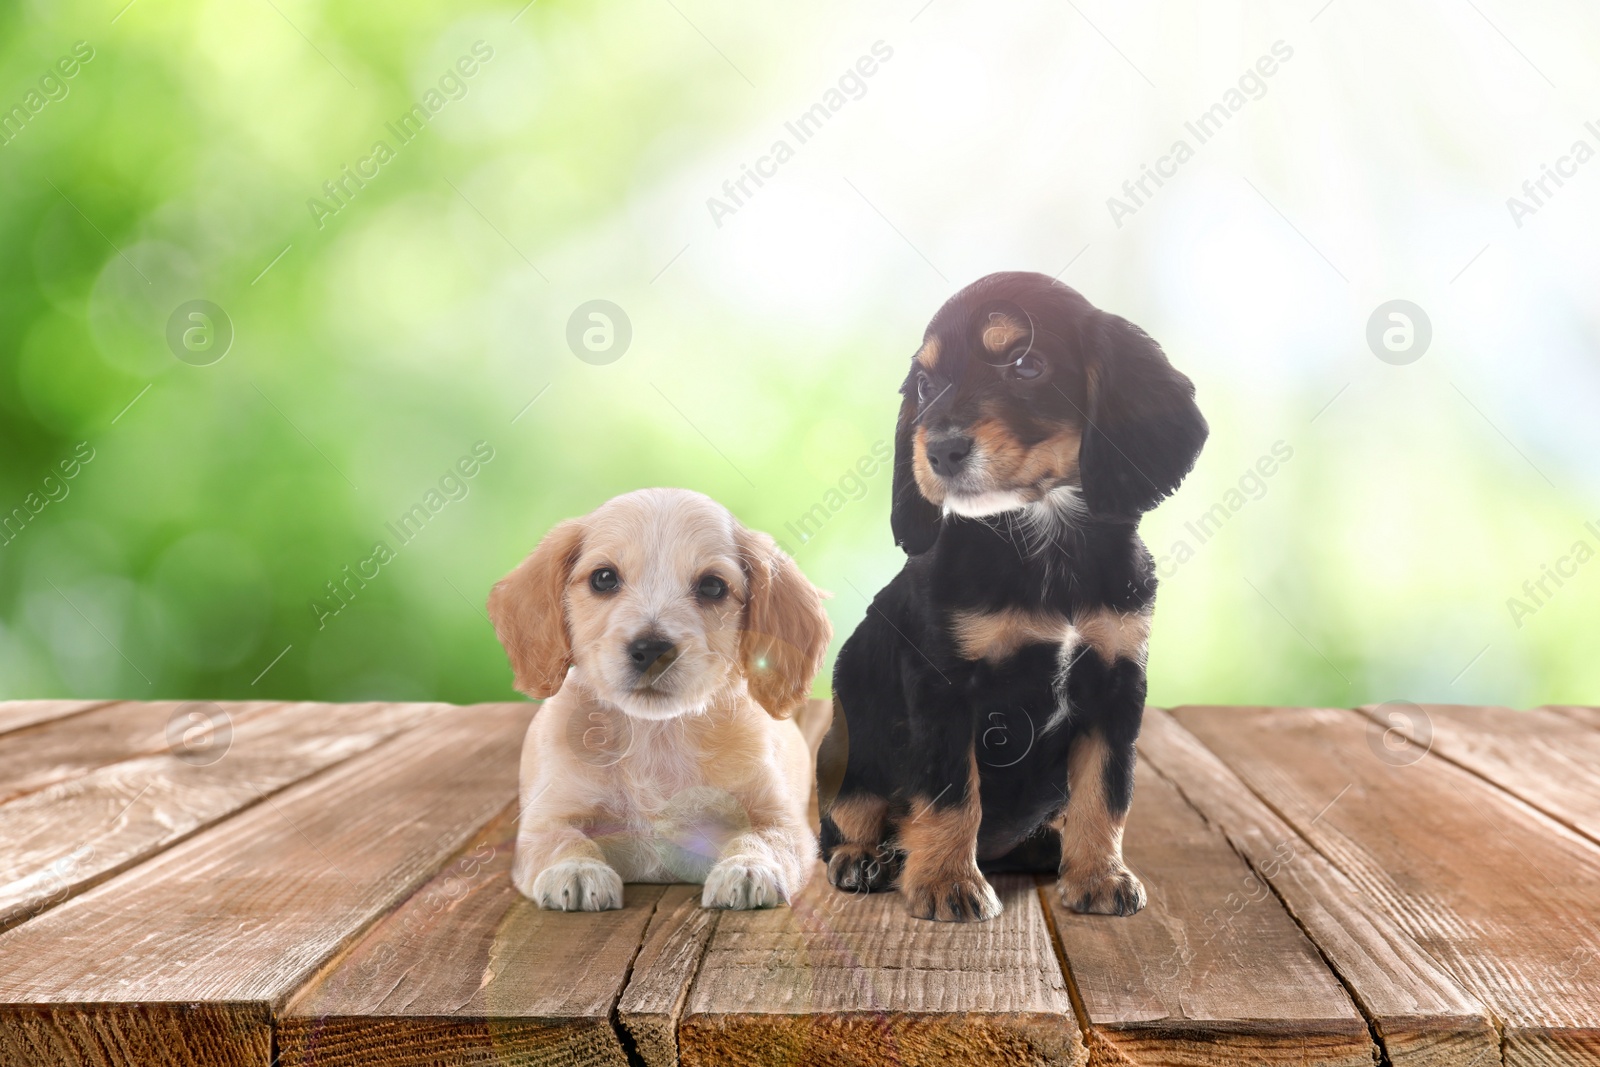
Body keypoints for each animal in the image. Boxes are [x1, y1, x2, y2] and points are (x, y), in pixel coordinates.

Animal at [489, 489, 832, 915]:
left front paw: (748, 867)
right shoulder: (546, 818)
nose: (651, 650)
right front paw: (577, 869)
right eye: (604, 578)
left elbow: (762, 838)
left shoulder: (783, 822)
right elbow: (563, 839)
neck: (655, 734)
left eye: (713, 587)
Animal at [819, 271, 1203, 921]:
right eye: (926, 385)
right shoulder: (944, 687)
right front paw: (947, 882)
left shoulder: (1118, 681)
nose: (939, 451)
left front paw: (1100, 875)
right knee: (848, 814)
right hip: (851, 738)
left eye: (1026, 365)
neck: (1047, 539)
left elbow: (1106, 791)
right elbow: (952, 792)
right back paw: (868, 858)